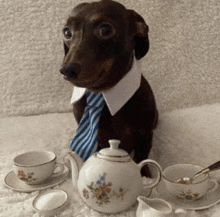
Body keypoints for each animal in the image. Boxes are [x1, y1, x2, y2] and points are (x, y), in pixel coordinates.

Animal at [59, 0, 157, 168]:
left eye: (105, 29)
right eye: (67, 32)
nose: (67, 70)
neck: (100, 94)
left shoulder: (145, 137)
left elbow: (142, 159)